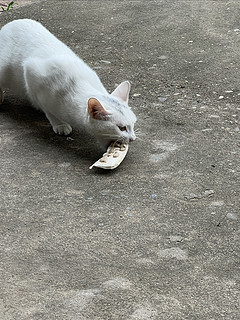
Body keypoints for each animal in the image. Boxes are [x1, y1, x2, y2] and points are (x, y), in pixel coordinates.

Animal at [0, 18, 136, 146]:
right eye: (121, 128)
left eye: (133, 124)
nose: (133, 138)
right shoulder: (32, 73)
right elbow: (47, 109)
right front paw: (59, 123)